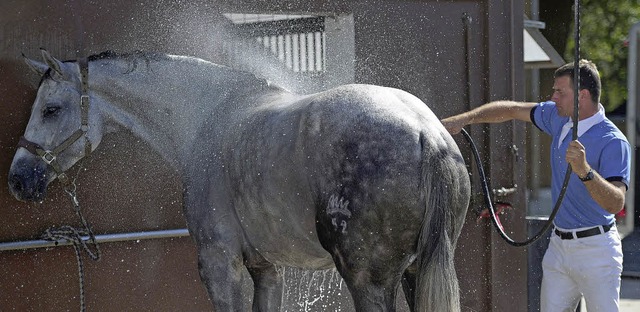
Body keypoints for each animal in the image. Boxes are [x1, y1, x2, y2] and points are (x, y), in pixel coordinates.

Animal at [7, 50, 470, 310]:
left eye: (50, 109)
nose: (18, 179)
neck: (209, 117)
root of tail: (426, 133)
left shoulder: (219, 263)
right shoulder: (267, 268)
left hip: (368, 282)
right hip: (413, 274)